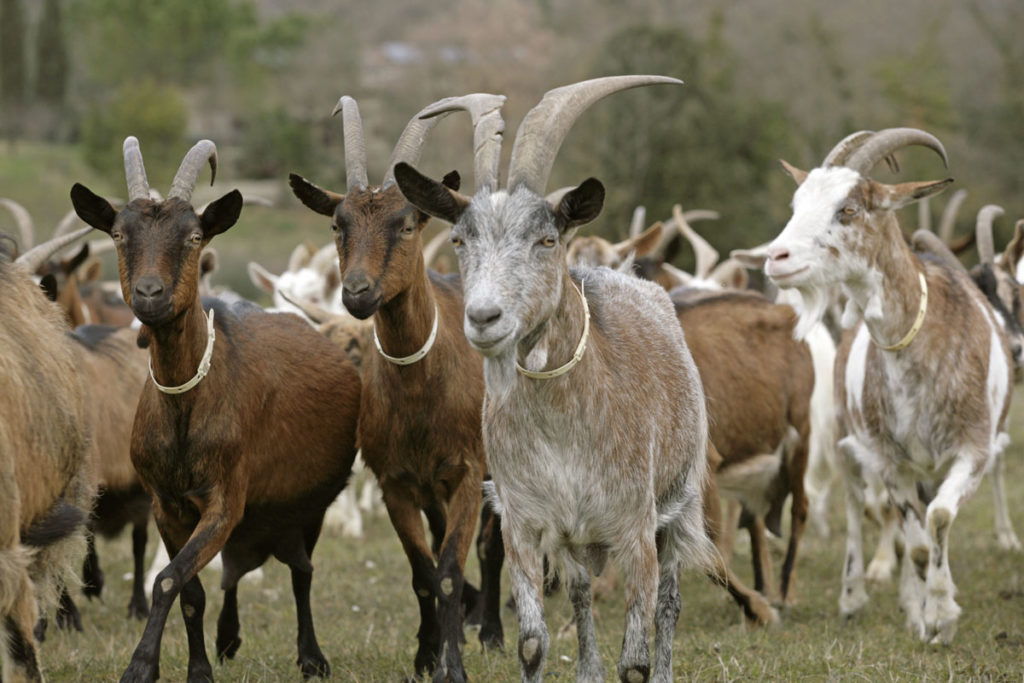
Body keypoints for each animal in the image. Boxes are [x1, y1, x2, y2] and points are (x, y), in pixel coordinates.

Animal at [71, 136, 360, 679]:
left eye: (194, 237)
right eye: (118, 233)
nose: (149, 294)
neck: (186, 406)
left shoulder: (226, 498)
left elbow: (167, 579)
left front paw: (141, 666)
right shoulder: (167, 503)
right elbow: (190, 590)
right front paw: (199, 669)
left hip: (308, 502)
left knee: (302, 570)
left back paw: (312, 657)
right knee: (235, 572)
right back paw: (229, 639)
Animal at [288, 92, 507, 683]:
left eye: (407, 224)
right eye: (337, 224)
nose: (358, 292)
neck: (422, 391)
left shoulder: (467, 474)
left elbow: (451, 568)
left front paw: (454, 665)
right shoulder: (398, 482)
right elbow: (422, 572)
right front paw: (427, 654)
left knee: (493, 547)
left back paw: (493, 633)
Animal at [395, 73, 716, 683]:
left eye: (546, 240)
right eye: (460, 241)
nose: (484, 317)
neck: (563, 427)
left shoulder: (635, 524)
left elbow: (635, 660)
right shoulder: (524, 523)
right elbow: (532, 643)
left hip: (680, 500)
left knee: (670, 602)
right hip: (571, 538)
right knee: (583, 592)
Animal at [765, 127, 1011, 647]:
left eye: (848, 209)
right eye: (797, 203)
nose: (776, 259)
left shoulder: (974, 451)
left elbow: (938, 519)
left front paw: (942, 613)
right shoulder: (891, 460)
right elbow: (915, 546)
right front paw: (926, 617)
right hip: (848, 441)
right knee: (858, 506)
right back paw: (856, 595)